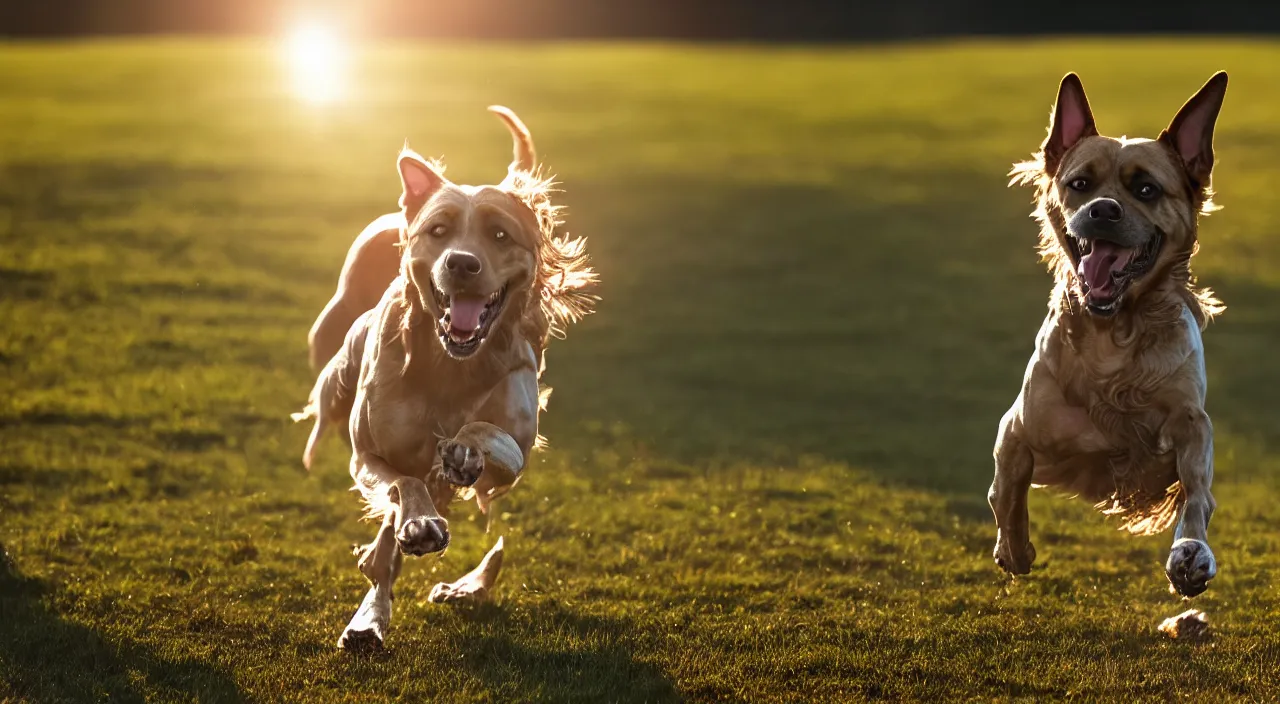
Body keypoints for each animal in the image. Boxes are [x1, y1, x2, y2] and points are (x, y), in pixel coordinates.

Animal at [293, 107, 596, 655]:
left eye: (500, 236)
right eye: (438, 230)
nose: (461, 262)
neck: (450, 364)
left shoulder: (517, 447)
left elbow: (493, 440)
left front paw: (462, 452)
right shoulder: (365, 455)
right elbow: (401, 484)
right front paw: (419, 523)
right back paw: (374, 612)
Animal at [993, 71, 1223, 599]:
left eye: (1146, 188)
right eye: (1080, 184)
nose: (1103, 210)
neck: (1112, 331)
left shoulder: (1191, 421)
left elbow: (1197, 493)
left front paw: (1192, 553)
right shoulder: (1017, 426)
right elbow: (1006, 488)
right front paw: (1014, 550)